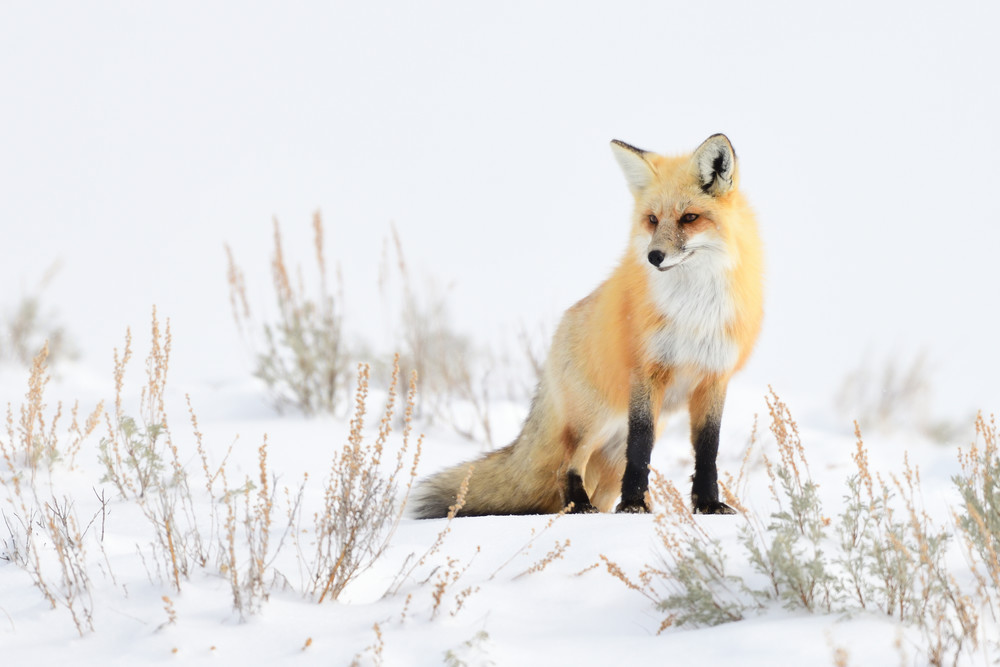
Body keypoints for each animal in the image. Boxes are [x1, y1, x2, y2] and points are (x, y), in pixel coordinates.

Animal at [414, 136, 764, 520]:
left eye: (689, 218)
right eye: (652, 220)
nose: (654, 257)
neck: (694, 312)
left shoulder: (714, 377)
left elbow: (707, 451)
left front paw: (708, 504)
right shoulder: (645, 372)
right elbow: (641, 449)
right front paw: (634, 505)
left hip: (612, 452)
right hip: (593, 422)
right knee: (565, 466)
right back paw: (580, 505)